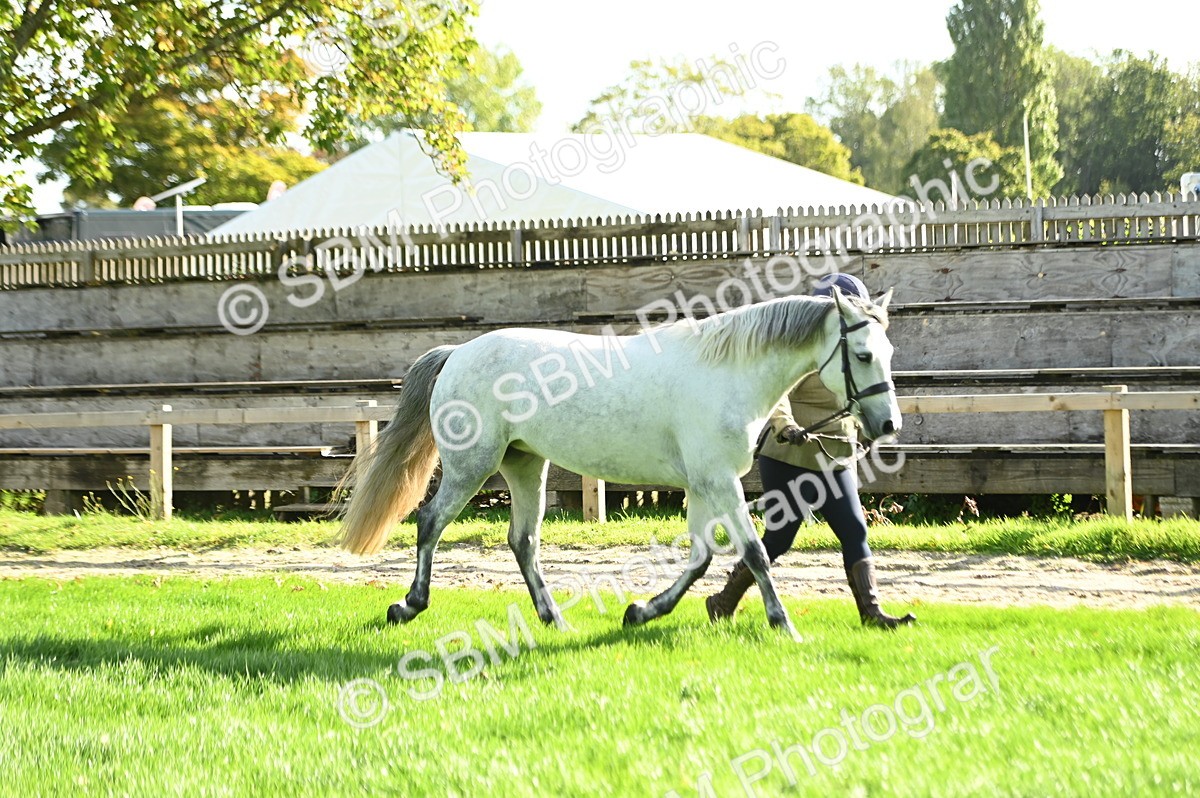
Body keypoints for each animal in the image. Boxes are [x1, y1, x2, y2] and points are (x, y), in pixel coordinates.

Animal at [338, 288, 901, 640]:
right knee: (431, 522)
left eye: (889, 351)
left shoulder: (703, 485)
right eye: (863, 355)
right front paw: (783, 624)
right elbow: (756, 553)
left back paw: (554, 619)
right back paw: (408, 605)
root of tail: (458, 353)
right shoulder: (720, 482)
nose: (888, 423)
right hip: (470, 466)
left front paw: (642, 611)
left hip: (525, 465)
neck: (727, 373)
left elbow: (701, 557)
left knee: (523, 541)